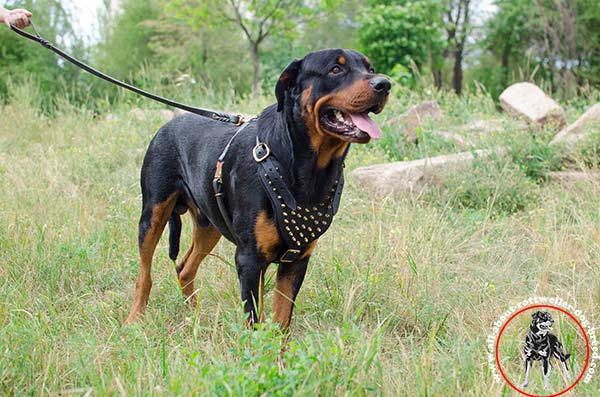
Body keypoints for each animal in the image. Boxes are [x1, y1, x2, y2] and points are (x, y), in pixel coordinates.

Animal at [124, 48, 392, 328]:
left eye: (370, 69)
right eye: (335, 69)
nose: (384, 84)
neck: (305, 167)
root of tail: (168, 124)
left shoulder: (297, 261)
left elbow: (281, 319)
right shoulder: (249, 259)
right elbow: (254, 321)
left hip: (209, 223)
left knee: (185, 267)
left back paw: (195, 316)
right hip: (153, 213)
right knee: (144, 273)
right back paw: (135, 319)